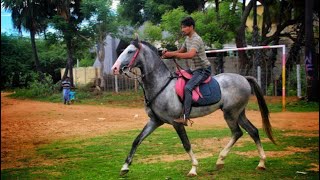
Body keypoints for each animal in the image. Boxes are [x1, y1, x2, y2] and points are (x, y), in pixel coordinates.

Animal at [110, 38, 276, 176]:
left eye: (130, 51)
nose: (115, 68)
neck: (161, 85)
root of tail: (244, 78)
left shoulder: (176, 122)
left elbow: (186, 144)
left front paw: (193, 168)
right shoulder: (155, 121)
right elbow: (137, 140)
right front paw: (125, 167)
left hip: (230, 113)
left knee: (237, 132)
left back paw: (221, 159)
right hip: (239, 113)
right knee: (252, 131)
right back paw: (260, 163)